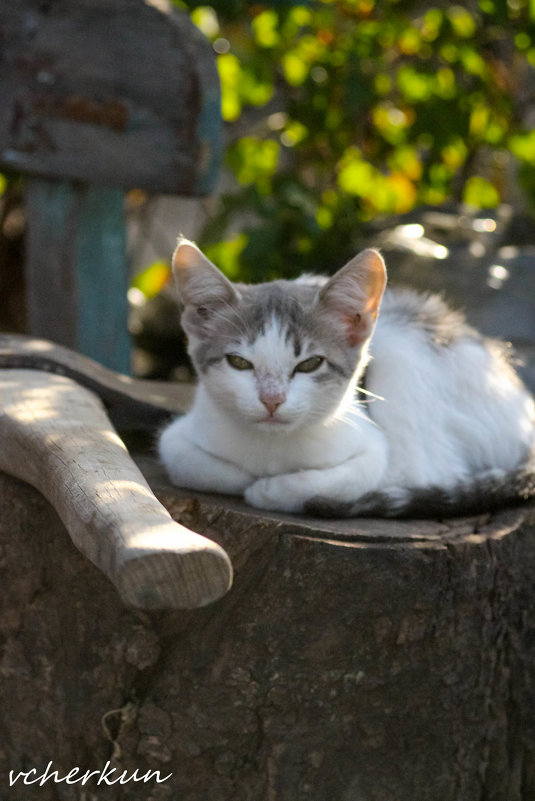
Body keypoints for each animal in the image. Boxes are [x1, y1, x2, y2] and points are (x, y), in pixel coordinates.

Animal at [159, 234, 535, 516]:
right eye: (239, 363)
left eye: (309, 364)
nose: (271, 400)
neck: (273, 448)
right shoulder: (181, 434)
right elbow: (186, 460)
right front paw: (247, 478)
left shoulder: (384, 453)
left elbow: (353, 477)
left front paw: (271, 489)